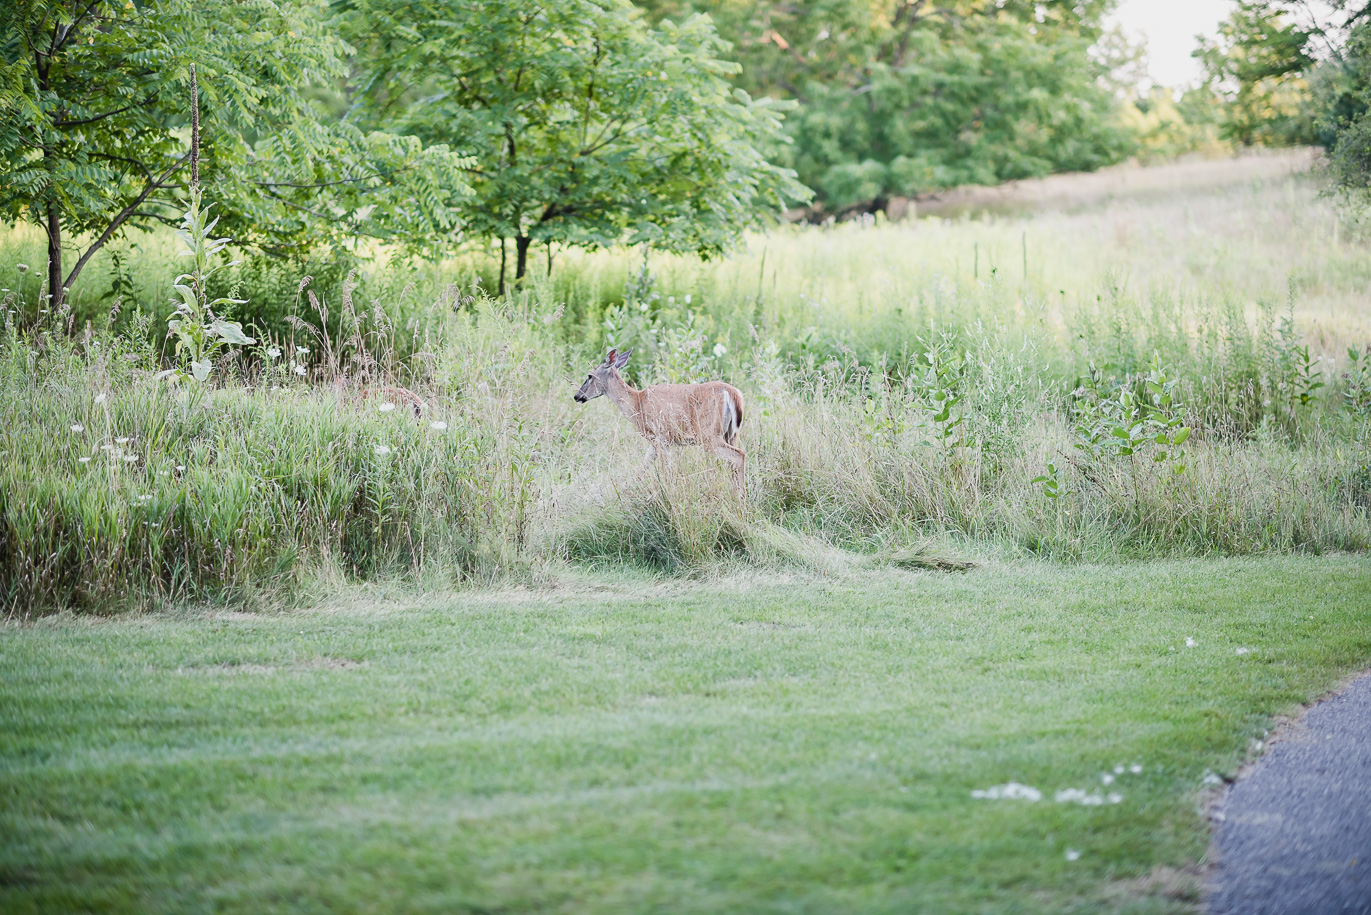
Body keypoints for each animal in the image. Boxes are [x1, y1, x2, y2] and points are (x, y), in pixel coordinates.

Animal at [578, 348, 751, 493]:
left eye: (589, 376)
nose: (577, 396)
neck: (636, 403)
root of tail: (733, 394)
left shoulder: (655, 436)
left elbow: (665, 469)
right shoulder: (660, 441)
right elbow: (644, 466)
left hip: (708, 434)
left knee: (738, 455)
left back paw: (741, 497)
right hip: (732, 433)